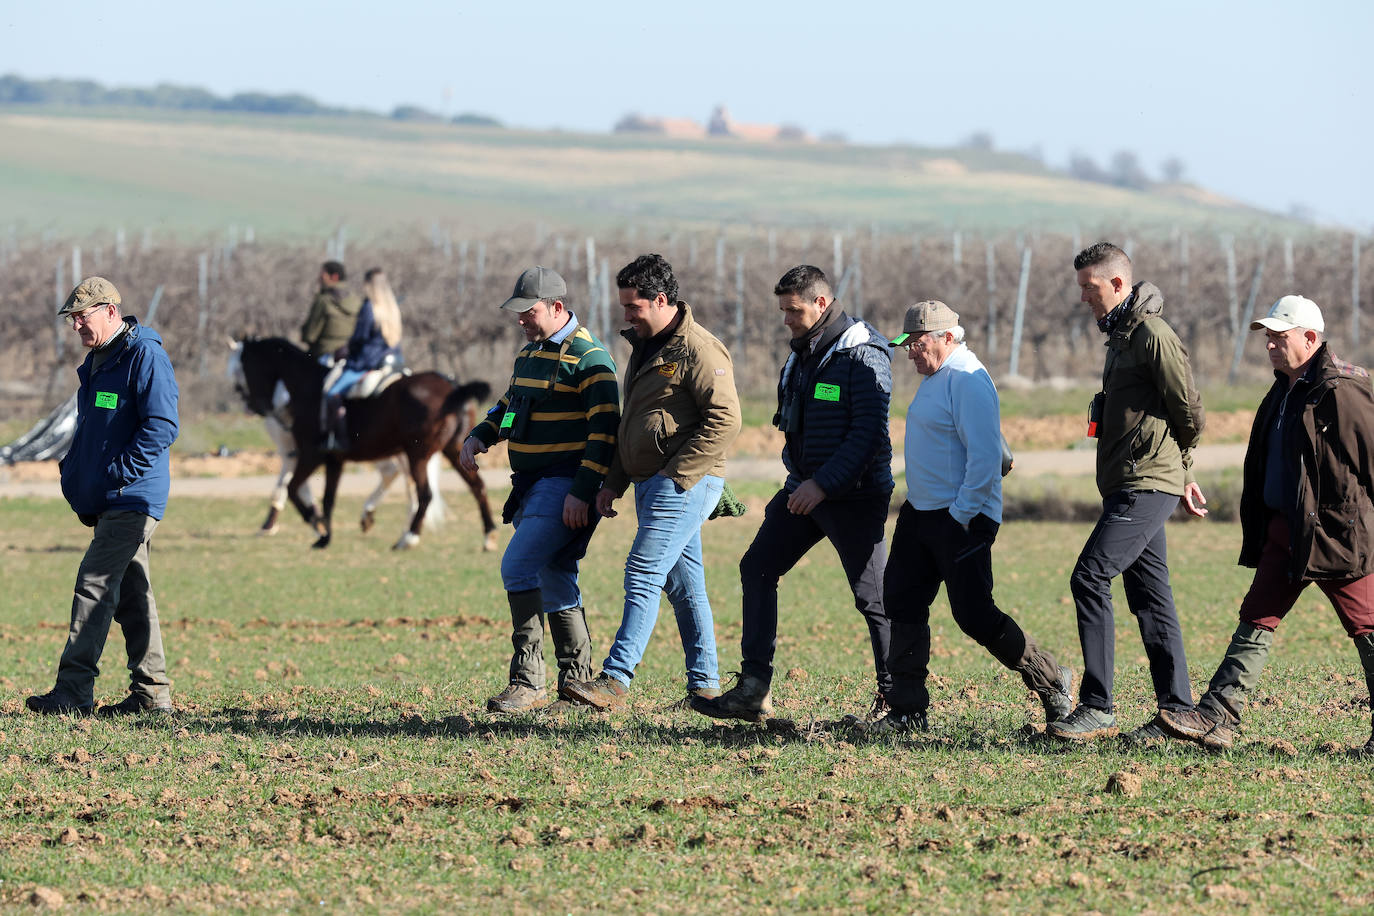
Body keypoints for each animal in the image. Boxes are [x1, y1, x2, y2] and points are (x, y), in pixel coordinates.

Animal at [232, 339, 500, 549]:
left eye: (246, 367)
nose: (255, 406)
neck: (310, 388)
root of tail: (452, 387)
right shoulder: (334, 461)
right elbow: (328, 499)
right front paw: (324, 536)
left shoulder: (309, 456)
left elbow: (292, 489)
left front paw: (315, 523)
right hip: (455, 452)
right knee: (477, 487)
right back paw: (489, 535)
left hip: (417, 456)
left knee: (424, 494)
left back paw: (408, 537)